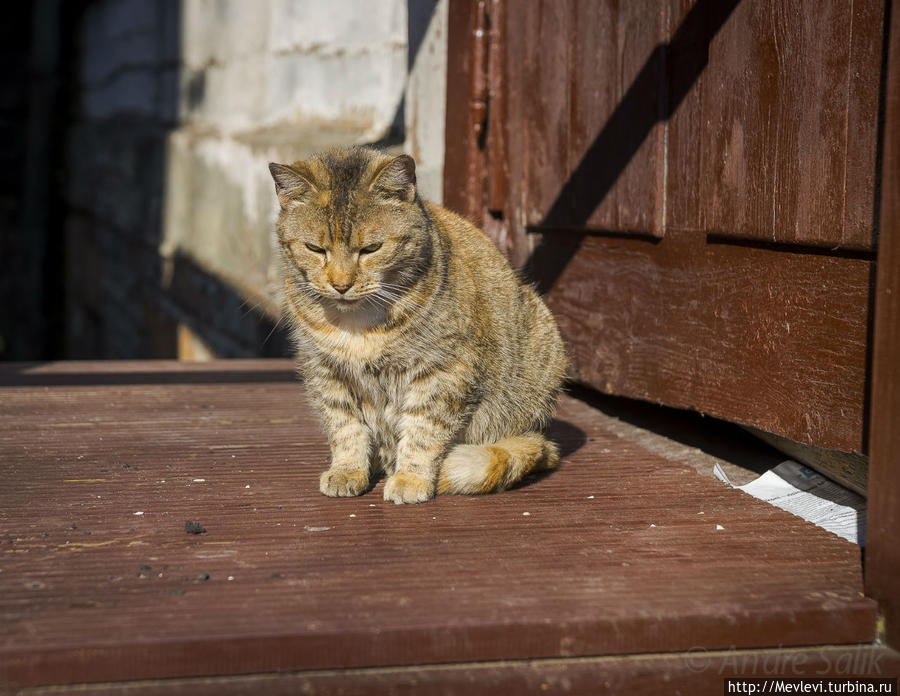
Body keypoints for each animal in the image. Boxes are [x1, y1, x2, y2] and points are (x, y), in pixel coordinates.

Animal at [268, 148, 568, 506]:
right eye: (314, 249)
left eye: (371, 248)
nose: (341, 285)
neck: (358, 326)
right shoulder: (326, 373)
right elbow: (345, 428)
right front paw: (347, 471)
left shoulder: (443, 372)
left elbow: (422, 431)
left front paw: (410, 478)